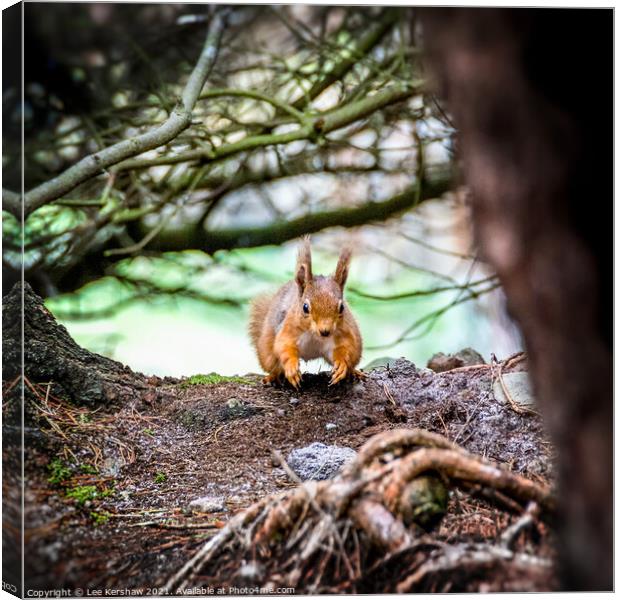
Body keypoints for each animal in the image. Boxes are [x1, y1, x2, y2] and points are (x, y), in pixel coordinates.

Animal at [248, 239, 364, 390]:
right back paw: (273, 376)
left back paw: (353, 372)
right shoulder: (288, 329)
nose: (325, 331)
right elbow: (284, 346)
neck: (315, 335)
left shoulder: (344, 332)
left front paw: (341, 365)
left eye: (342, 307)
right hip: (267, 350)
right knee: (274, 365)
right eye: (305, 307)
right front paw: (291, 368)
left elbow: (346, 347)